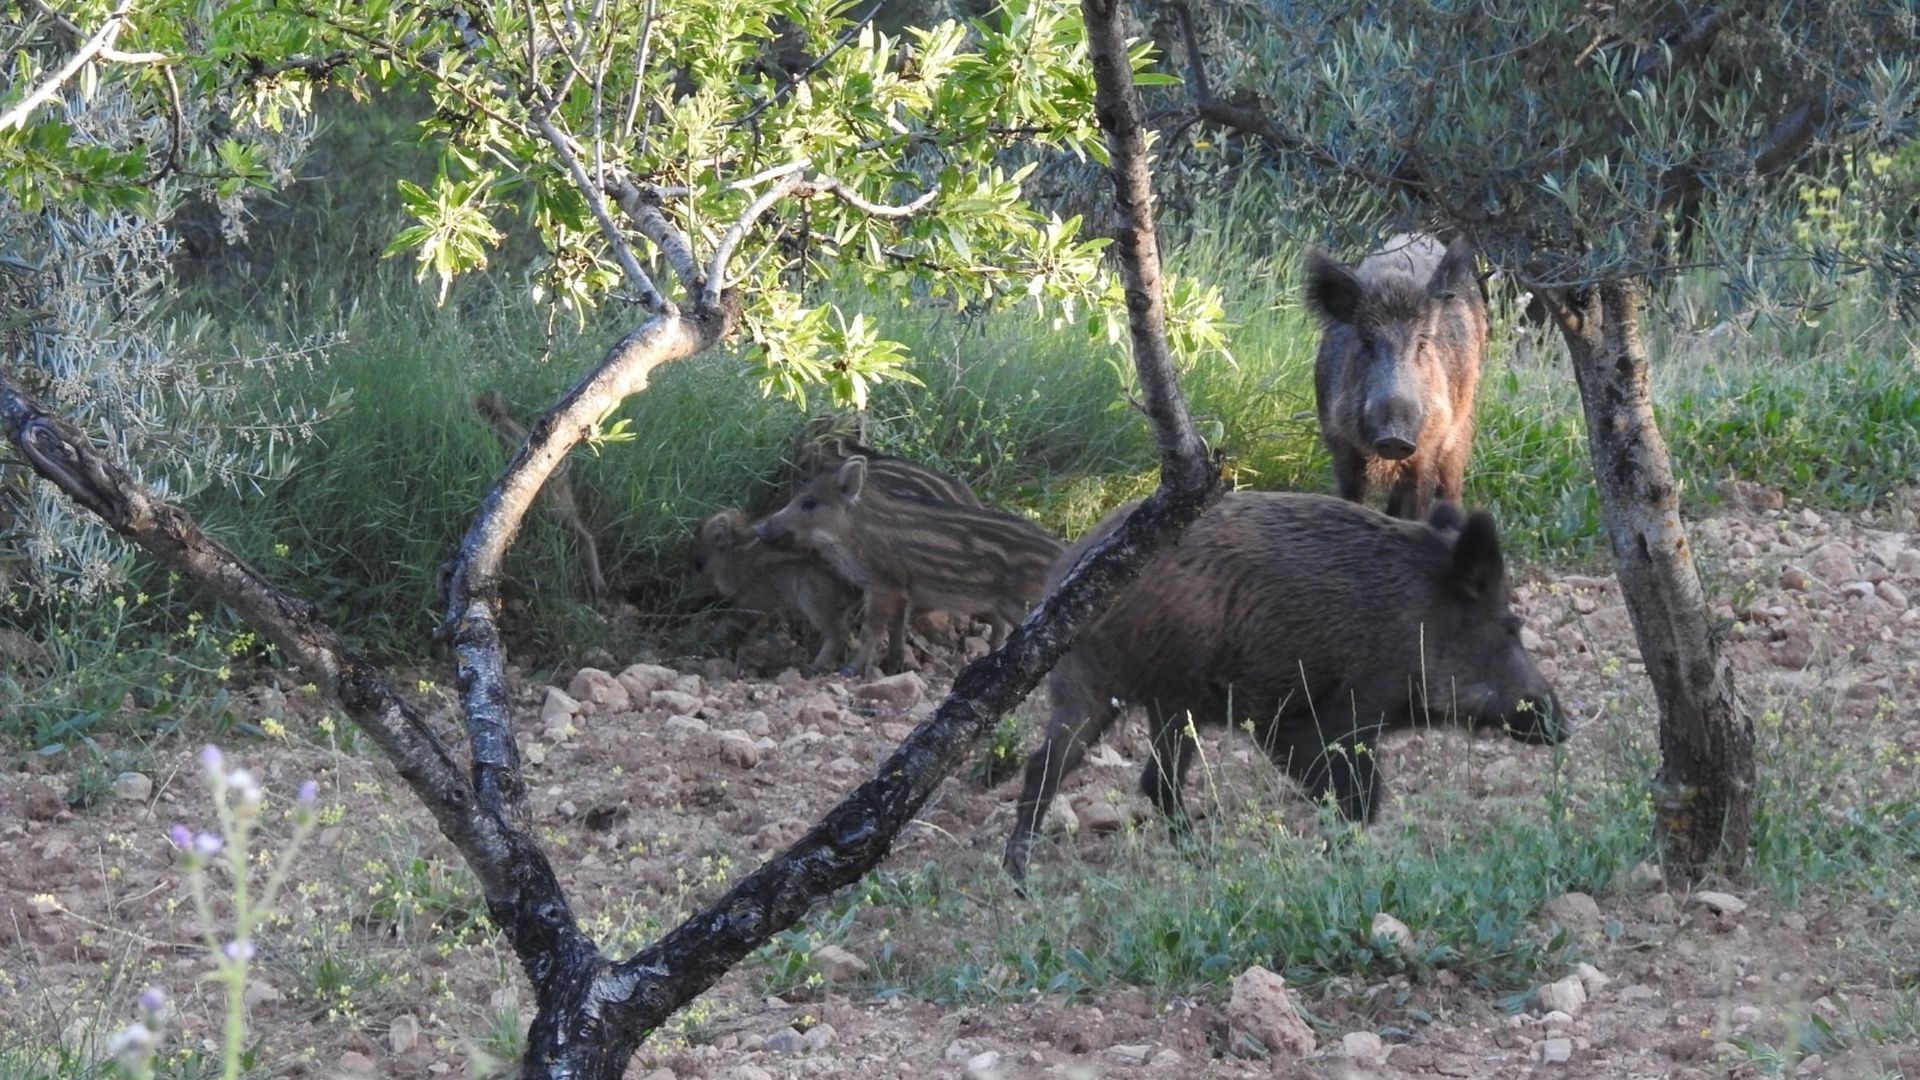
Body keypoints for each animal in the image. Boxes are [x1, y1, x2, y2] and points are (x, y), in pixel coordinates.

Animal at [690, 509, 860, 671]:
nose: (692, 601)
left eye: (699, 563)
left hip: (815, 600)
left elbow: (732, 621)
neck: (735, 555)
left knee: (839, 634)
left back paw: (814, 666)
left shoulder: (755, 600)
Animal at [755, 456, 1062, 675]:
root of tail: (1060, 549)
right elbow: (896, 627)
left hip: (1024, 604)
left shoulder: (883, 585)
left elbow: (871, 630)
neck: (855, 535)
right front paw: (892, 666)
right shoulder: (902, 589)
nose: (760, 529)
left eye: (809, 503)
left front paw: (850, 671)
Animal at [1002, 491, 1564, 879]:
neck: (1420, 620)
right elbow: (1360, 796)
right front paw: (1347, 861)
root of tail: (1065, 572)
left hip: (1101, 688)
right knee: (1134, 777)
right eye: (1510, 626)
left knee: (1069, 768)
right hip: (1161, 691)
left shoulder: (1288, 725)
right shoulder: (1345, 709)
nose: (1562, 724)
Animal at [1305, 233, 1488, 520]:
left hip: (1461, 425)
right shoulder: (1339, 440)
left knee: (1451, 487)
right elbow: (1352, 495)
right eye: (1367, 342)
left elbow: (1419, 502)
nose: (1394, 438)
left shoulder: (1429, 443)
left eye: (1422, 344)